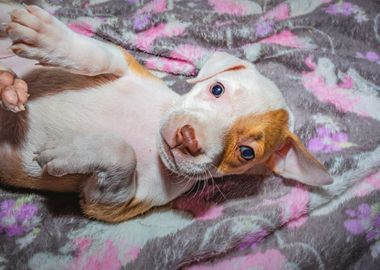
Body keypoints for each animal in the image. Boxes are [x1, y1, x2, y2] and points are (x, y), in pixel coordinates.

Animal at [0, 5, 332, 223]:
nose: (188, 138)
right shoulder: (124, 64)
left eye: (246, 152)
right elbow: (99, 55)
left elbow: (123, 155)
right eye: (217, 89)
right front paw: (50, 37)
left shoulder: (112, 202)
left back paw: (9, 86)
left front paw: (73, 152)